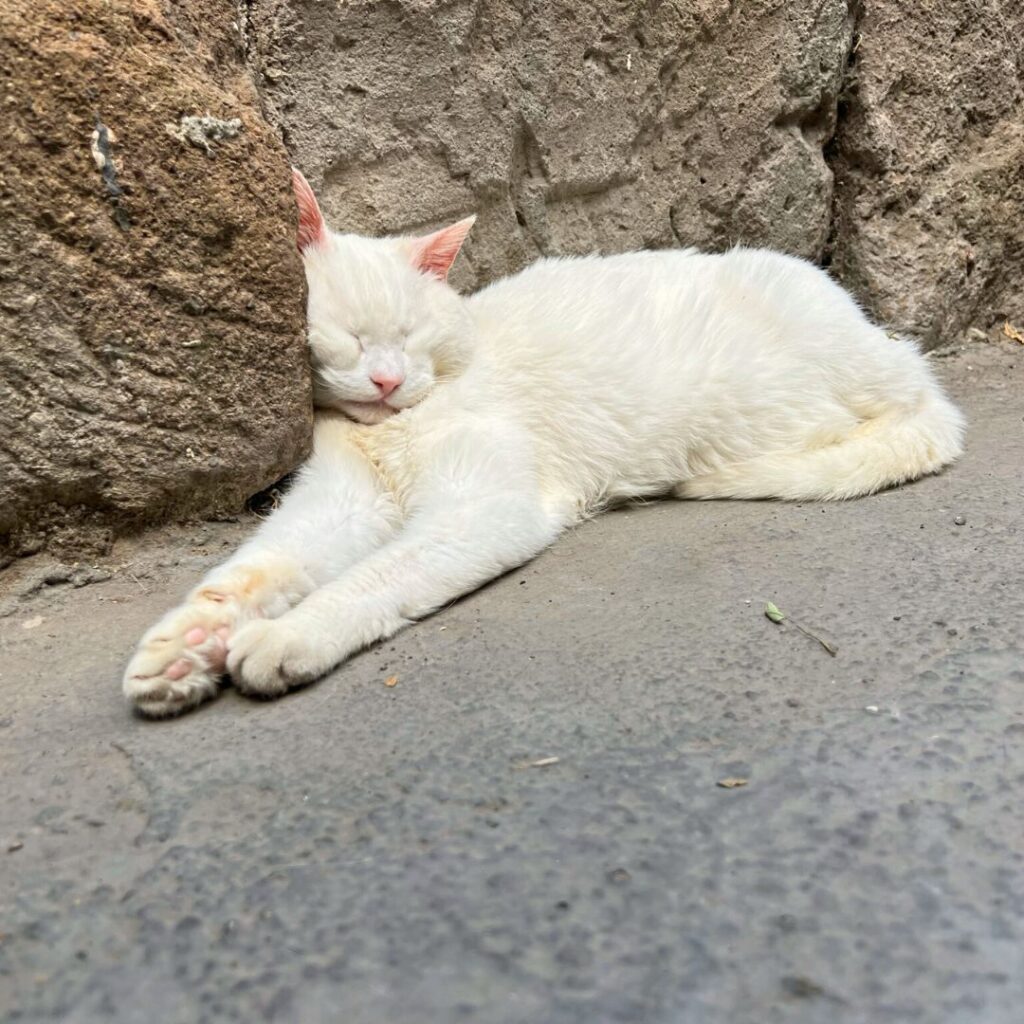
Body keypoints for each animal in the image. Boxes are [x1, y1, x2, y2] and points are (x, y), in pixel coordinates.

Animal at [119, 169, 958, 712]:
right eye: (351, 337)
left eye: (410, 336)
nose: (388, 380)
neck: (393, 431)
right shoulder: (339, 505)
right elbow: (251, 570)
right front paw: (184, 648)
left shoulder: (482, 511)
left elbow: (373, 578)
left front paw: (284, 636)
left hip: (859, 368)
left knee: (927, 417)